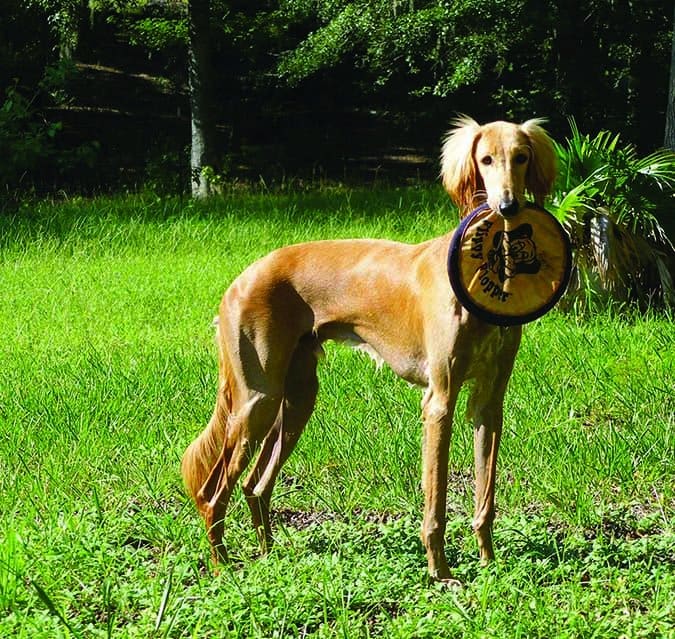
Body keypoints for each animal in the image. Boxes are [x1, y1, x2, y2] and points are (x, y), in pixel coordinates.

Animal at [182, 117, 556, 584]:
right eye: (485, 159)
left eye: (520, 157)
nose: (506, 206)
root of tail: (239, 280)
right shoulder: (439, 401)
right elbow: (435, 502)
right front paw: (440, 573)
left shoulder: (489, 402)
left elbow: (485, 496)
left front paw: (488, 562)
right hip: (257, 400)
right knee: (213, 491)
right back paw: (222, 567)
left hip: (296, 398)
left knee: (255, 486)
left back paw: (268, 555)